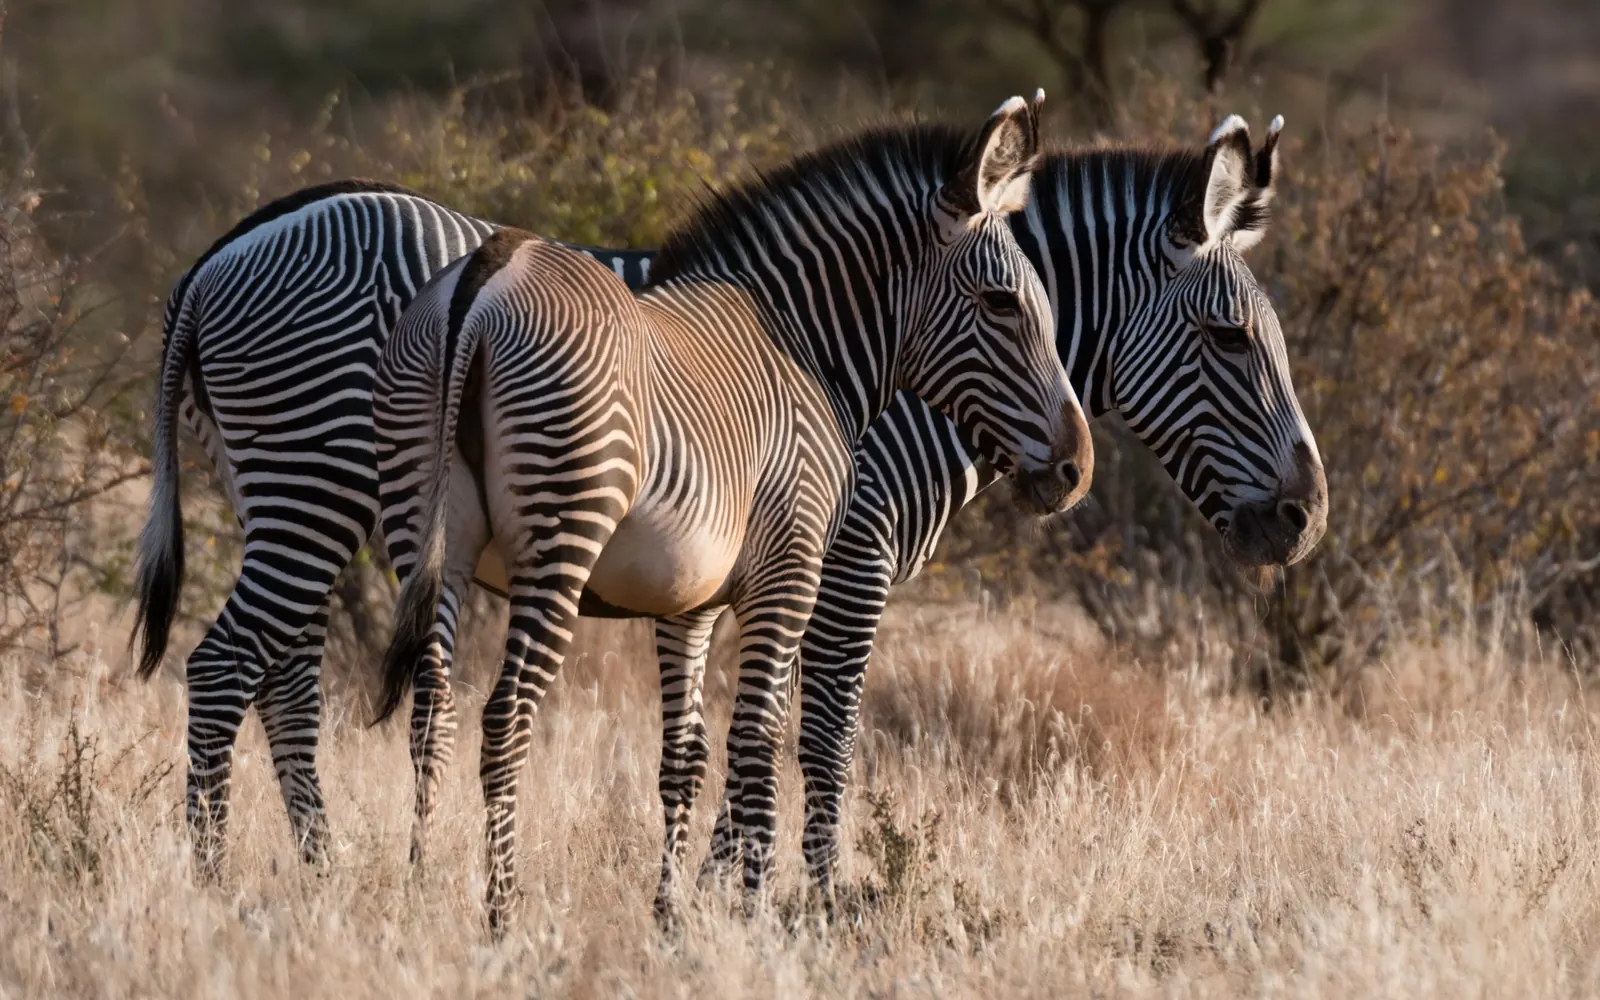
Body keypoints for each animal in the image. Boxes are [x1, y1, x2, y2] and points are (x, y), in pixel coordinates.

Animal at [370, 95, 1093, 928]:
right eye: (1002, 304)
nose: (1076, 469)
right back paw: (502, 915)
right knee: (506, 716)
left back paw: (418, 893)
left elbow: (684, 758)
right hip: (560, 534)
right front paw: (756, 910)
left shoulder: (690, 602)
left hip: (425, 534)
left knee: (432, 713)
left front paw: (671, 915)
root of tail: (487, 272)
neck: (804, 347)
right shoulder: (791, 574)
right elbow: (759, 742)